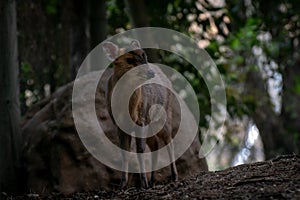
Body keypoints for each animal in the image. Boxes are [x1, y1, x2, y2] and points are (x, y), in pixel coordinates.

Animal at [103, 40, 178, 189]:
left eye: (145, 56)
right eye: (129, 60)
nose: (150, 72)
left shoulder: (141, 119)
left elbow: (140, 149)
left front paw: (143, 183)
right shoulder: (119, 125)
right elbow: (124, 152)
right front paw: (123, 185)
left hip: (163, 116)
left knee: (169, 141)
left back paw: (173, 177)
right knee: (155, 144)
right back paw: (153, 180)